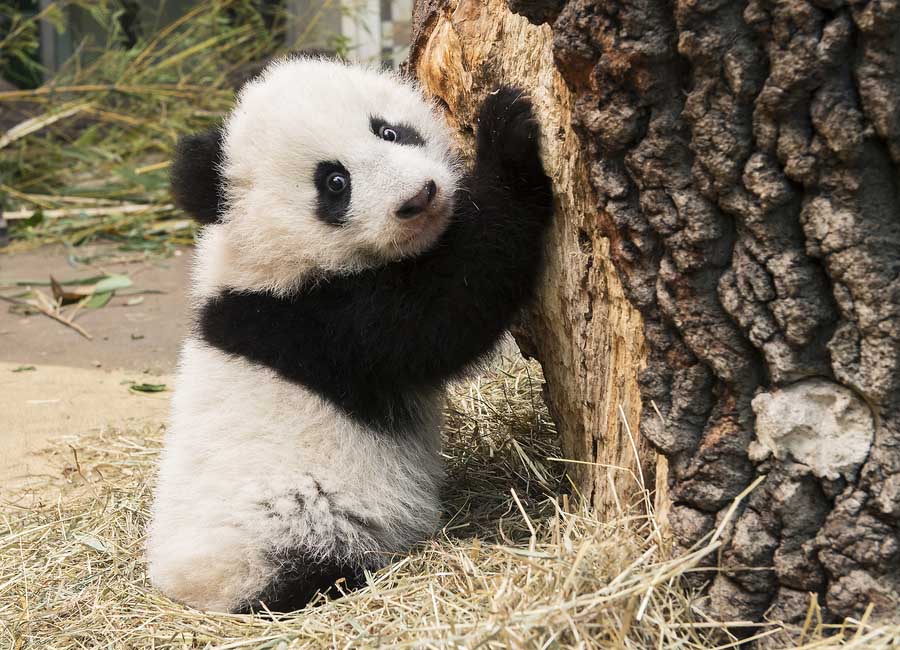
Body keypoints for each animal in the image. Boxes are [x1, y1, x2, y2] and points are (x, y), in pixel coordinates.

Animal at [146, 57, 554, 614]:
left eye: (389, 131)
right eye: (335, 183)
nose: (418, 198)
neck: (266, 258)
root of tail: (179, 586)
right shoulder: (313, 322)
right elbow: (441, 315)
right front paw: (507, 138)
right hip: (287, 525)